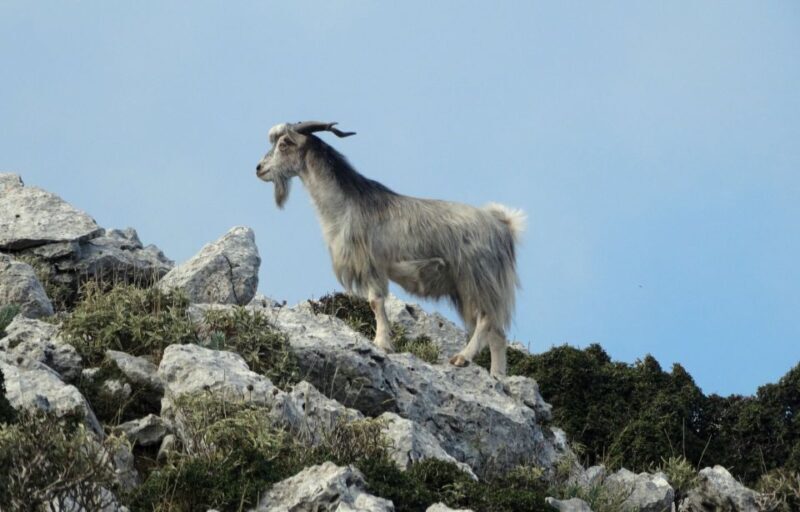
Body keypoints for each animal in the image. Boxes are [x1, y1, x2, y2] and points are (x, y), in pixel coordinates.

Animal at [256, 121, 525, 376]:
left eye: (285, 143)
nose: (259, 168)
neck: (345, 205)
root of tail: (503, 227)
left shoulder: (371, 265)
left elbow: (375, 302)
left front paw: (382, 343)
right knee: (498, 333)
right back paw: (497, 378)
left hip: (477, 278)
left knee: (486, 320)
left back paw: (462, 358)